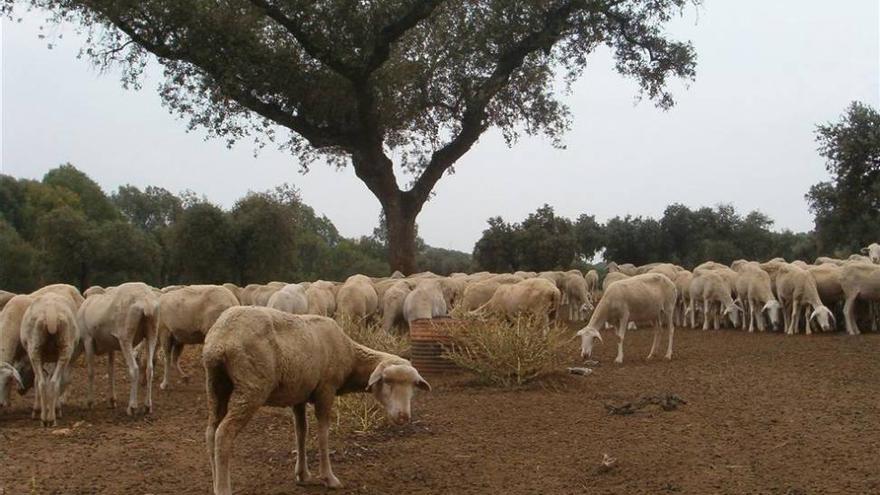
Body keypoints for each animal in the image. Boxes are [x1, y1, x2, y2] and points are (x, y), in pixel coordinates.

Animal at [20, 294, 79, 426]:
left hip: (35, 349)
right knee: (52, 382)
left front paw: (37, 410)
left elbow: (36, 380)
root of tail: (50, 313)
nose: (20, 390)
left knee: (43, 382)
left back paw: (46, 418)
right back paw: (50, 419)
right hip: (64, 348)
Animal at [77, 282, 160, 414]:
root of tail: (145, 301)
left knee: (134, 369)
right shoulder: (111, 345)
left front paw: (89, 402)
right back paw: (147, 406)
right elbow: (111, 371)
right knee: (149, 368)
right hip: (152, 332)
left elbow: (91, 371)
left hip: (125, 337)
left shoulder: (87, 339)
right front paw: (111, 400)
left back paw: (132, 406)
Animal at [203, 308, 430, 494]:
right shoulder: (325, 390)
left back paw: (214, 482)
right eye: (387, 381)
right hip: (251, 387)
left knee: (211, 431)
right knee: (224, 433)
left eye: (413, 386)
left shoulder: (299, 395)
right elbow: (323, 434)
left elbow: (301, 432)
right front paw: (329, 478)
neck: (351, 357)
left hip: (216, 385)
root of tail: (220, 339)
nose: (403, 416)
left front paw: (303, 475)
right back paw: (223, 489)